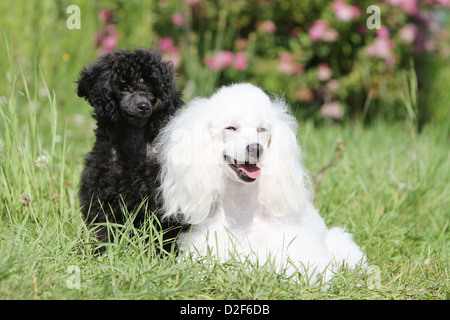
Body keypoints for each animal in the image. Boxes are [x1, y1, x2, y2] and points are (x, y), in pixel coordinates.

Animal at [78, 48, 185, 252]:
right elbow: (104, 230)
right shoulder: (101, 196)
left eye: (151, 92)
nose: (143, 106)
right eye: (125, 88)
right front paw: (101, 252)